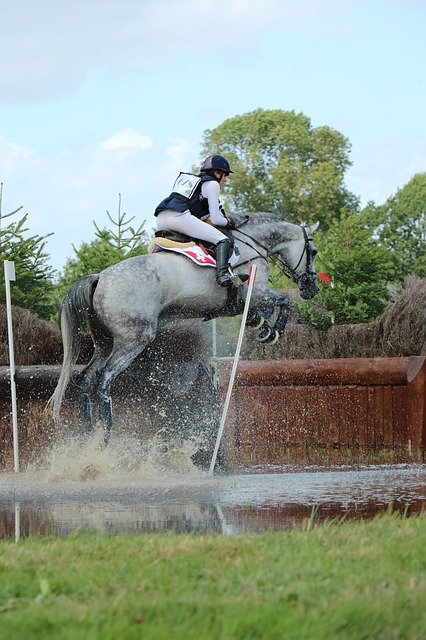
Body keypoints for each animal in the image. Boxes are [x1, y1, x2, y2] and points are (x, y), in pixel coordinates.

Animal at [48, 212, 318, 442]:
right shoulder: (256, 292)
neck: (252, 243)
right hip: (133, 339)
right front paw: (273, 332)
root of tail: (99, 279)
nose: (312, 289)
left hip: (104, 342)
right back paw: (105, 435)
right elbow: (284, 301)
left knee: (86, 377)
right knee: (105, 377)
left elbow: (262, 311)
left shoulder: (245, 302)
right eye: (313, 252)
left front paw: (263, 326)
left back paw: (86, 433)